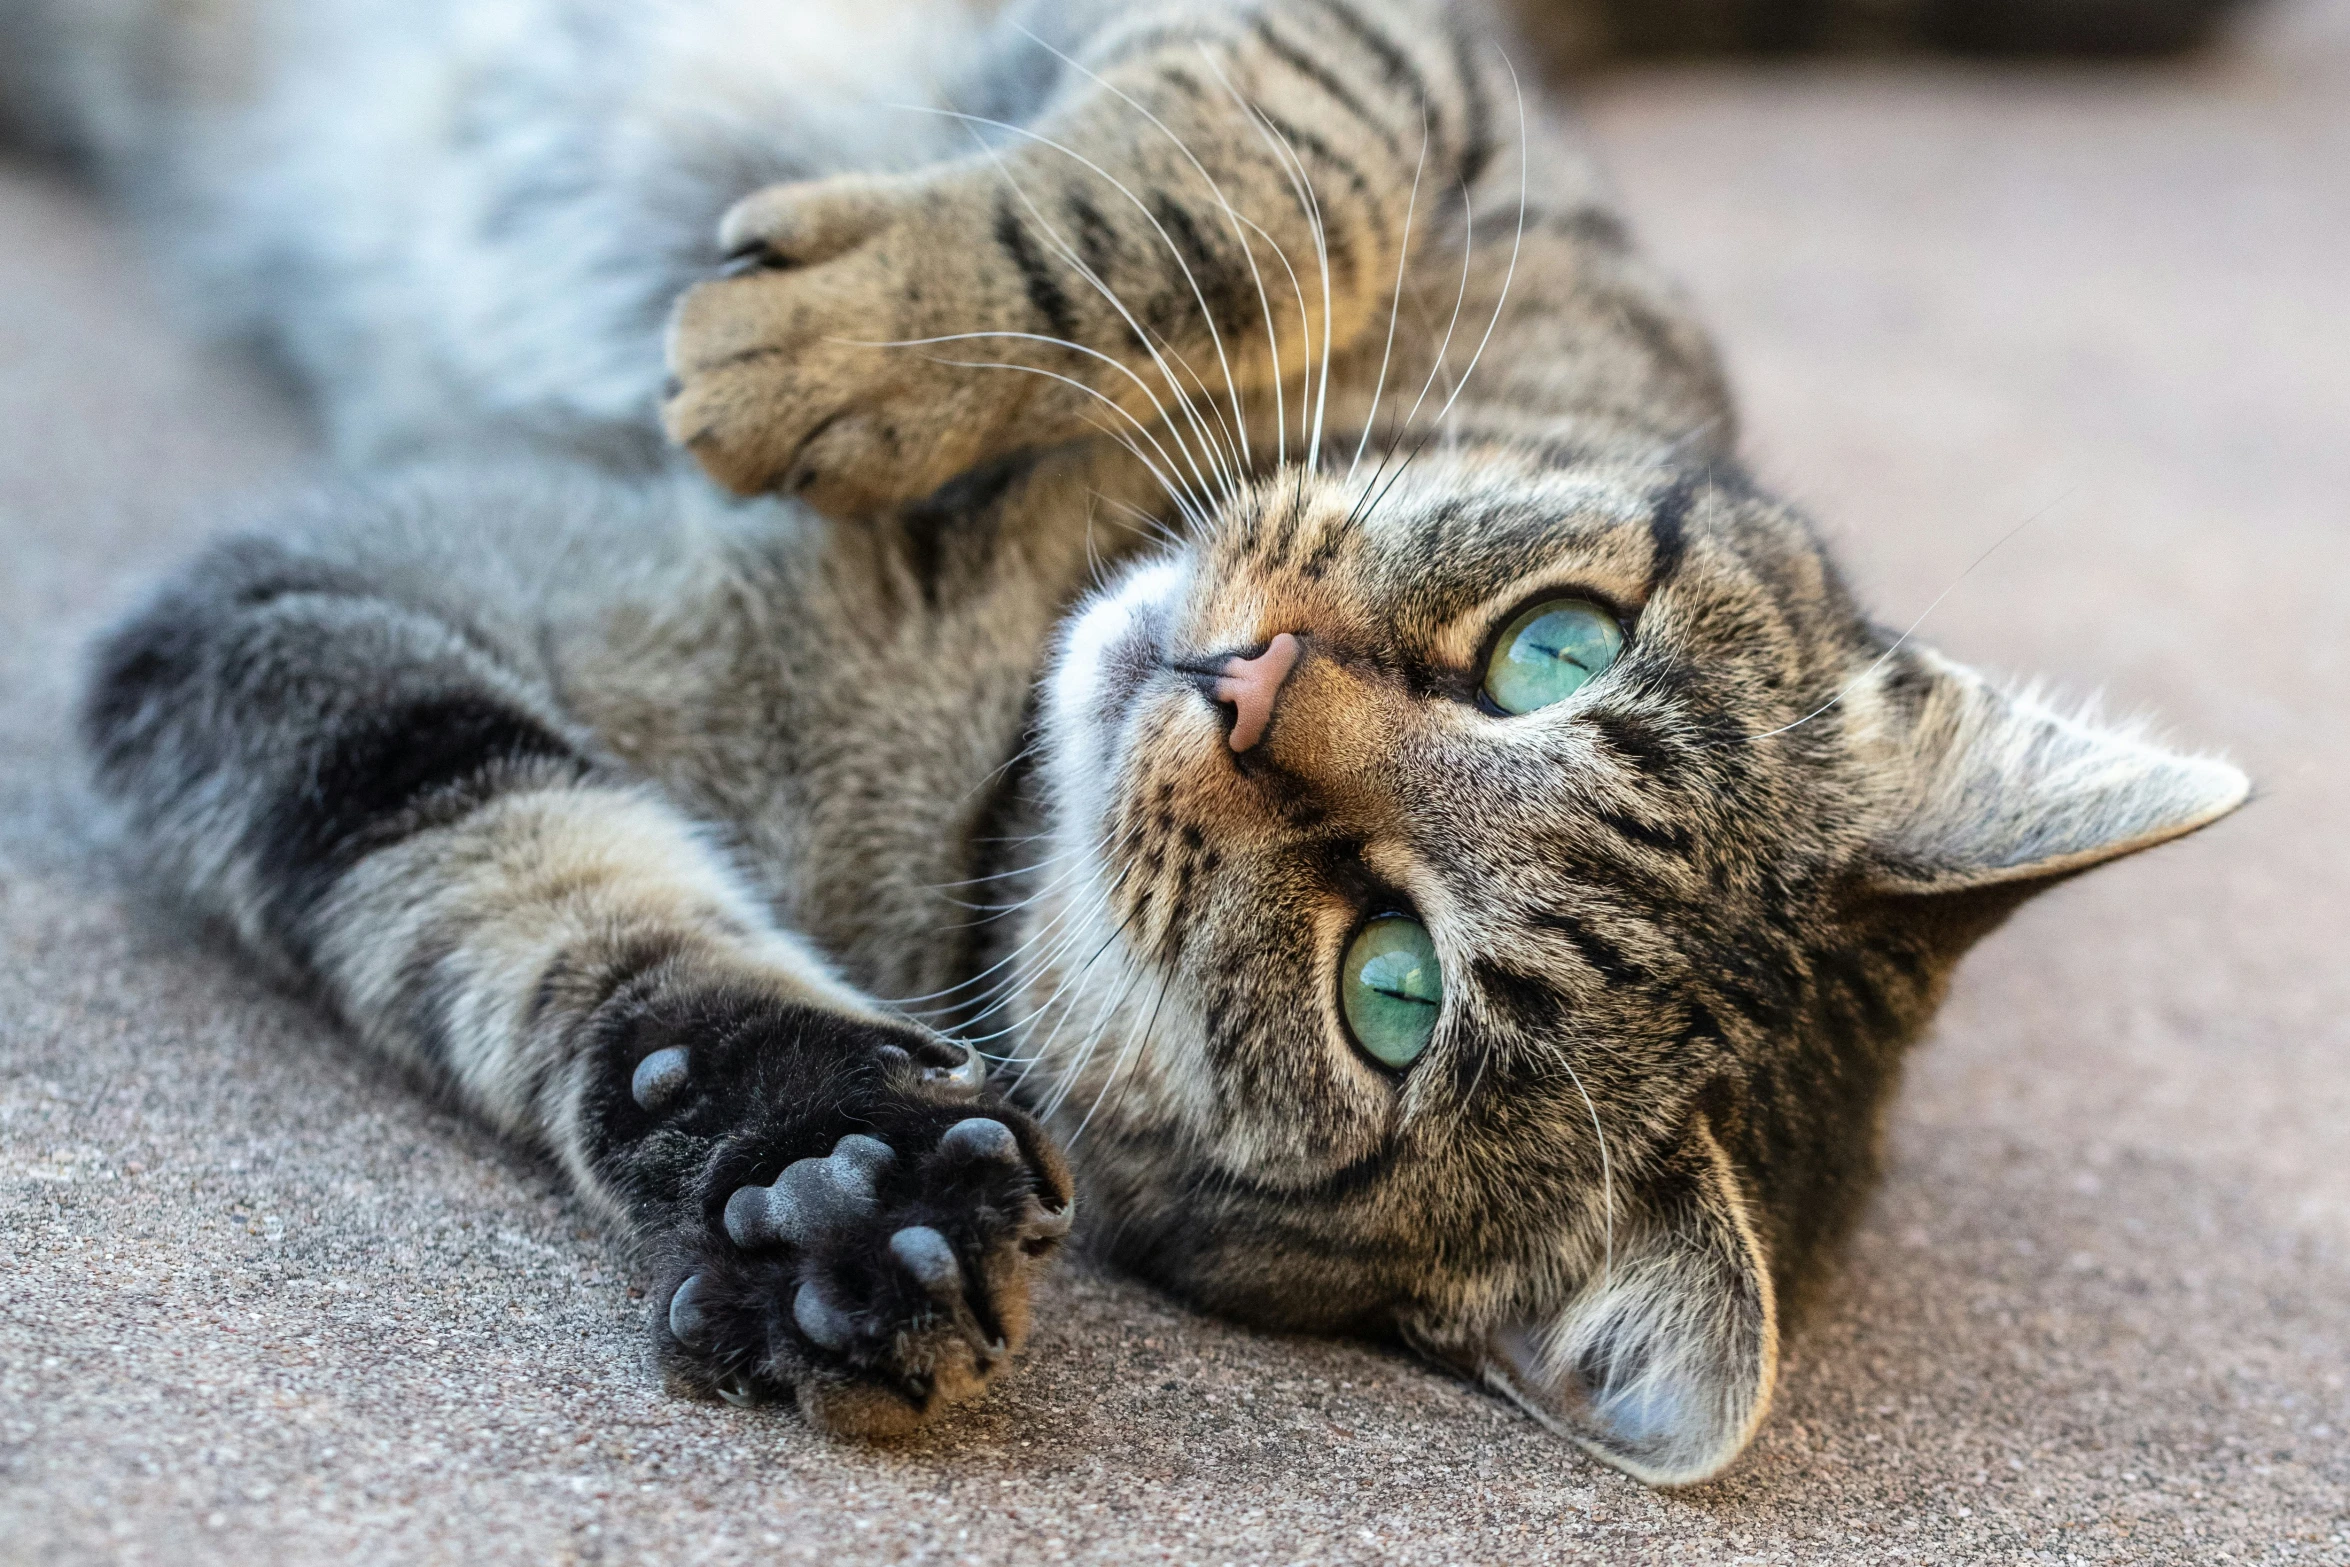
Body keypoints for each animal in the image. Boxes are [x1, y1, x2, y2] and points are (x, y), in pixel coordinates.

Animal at [22, 0, 2256, 1484]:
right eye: (1556, 648)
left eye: (1389, 989)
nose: (1243, 687)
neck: (1021, 628)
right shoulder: (1396, 72)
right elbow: (1234, 172)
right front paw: (842, 343)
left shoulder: (299, 607)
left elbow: (555, 912)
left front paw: (830, 1190)